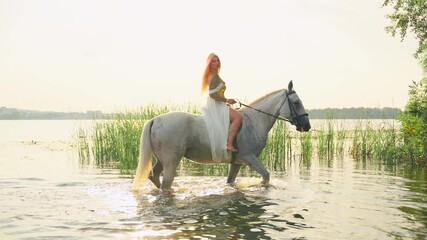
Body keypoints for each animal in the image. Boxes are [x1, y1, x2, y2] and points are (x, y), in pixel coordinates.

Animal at [132, 81, 312, 191]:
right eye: (296, 102)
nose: (307, 126)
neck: (254, 121)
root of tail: (155, 120)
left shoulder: (237, 163)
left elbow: (230, 182)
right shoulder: (249, 157)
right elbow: (266, 176)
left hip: (161, 160)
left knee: (154, 176)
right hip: (171, 161)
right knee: (165, 183)